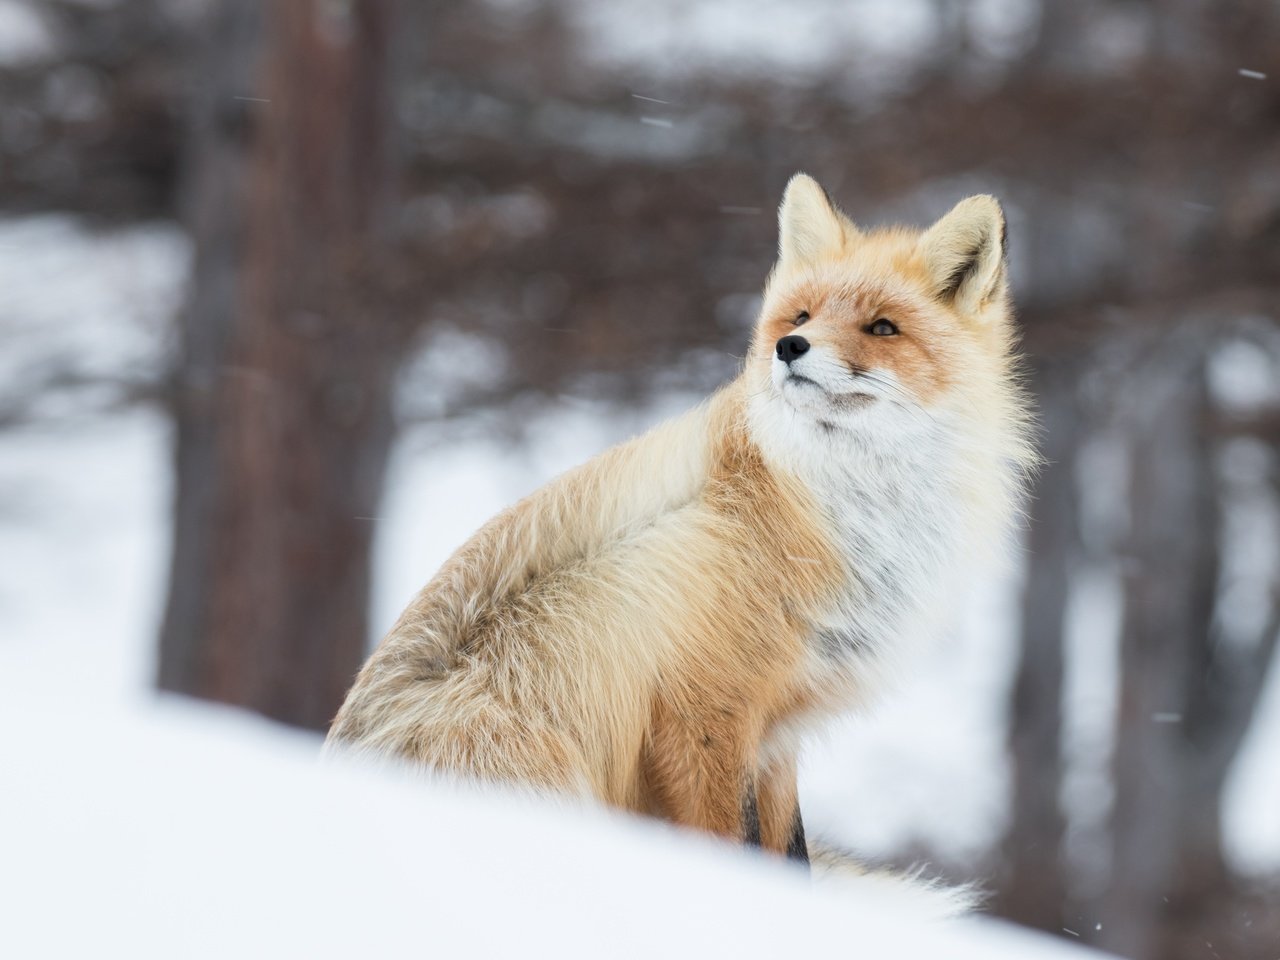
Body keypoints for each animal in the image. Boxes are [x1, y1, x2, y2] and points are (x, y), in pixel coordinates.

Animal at [325, 172, 1034, 865]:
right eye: (802, 315)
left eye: (883, 328)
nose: (790, 346)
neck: (820, 512)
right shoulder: (702, 715)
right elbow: (732, 844)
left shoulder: (778, 731)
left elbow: (791, 852)